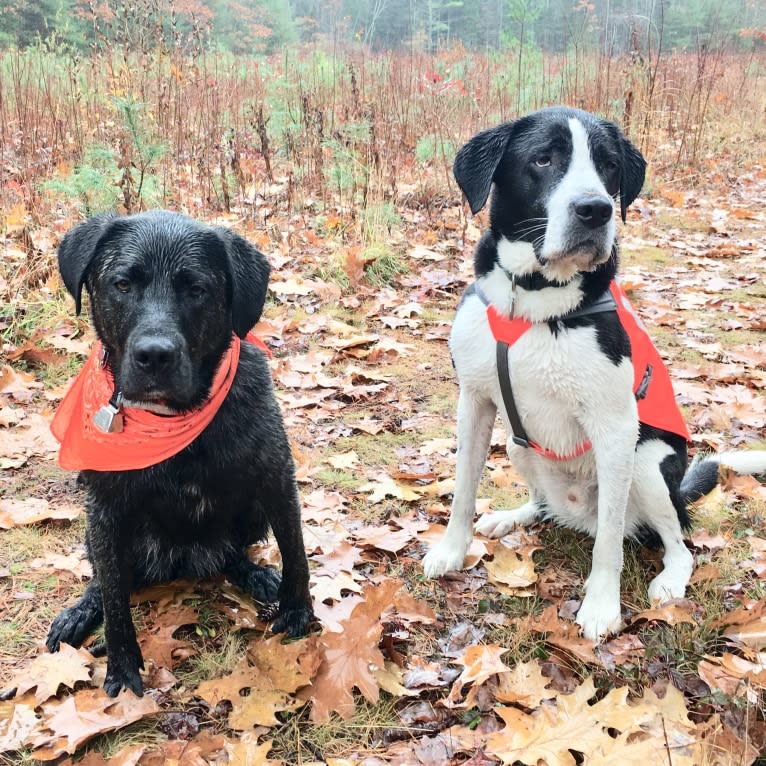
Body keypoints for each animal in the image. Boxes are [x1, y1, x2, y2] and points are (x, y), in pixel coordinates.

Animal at [47, 210, 316, 696]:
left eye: (196, 289)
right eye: (122, 284)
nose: (154, 356)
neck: (173, 422)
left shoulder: (275, 477)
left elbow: (296, 550)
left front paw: (297, 608)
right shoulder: (106, 509)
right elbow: (115, 599)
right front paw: (122, 664)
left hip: (252, 512)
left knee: (231, 552)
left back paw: (254, 573)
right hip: (98, 532)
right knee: (105, 578)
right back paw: (81, 610)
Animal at [426, 106, 766, 640]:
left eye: (608, 166)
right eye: (543, 159)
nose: (596, 210)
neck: (533, 298)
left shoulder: (616, 427)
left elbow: (609, 541)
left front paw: (601, 606)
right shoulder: (475, 403)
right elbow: (463, 488)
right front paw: (451, 550)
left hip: (648, 465)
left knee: (673, 542)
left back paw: (670, 580)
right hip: (517, 444)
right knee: (546, 505)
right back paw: (514, 516)